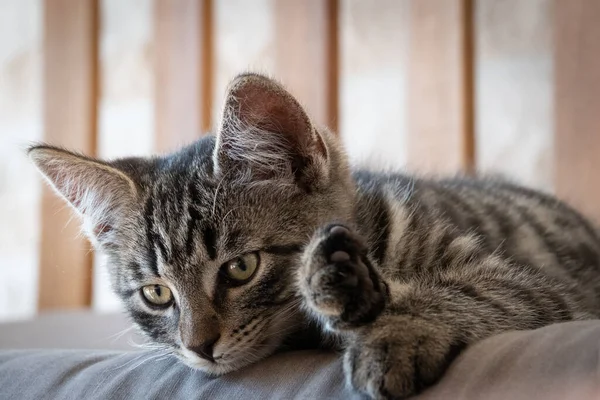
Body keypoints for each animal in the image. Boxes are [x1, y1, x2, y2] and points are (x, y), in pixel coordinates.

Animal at [28, 73, 600, 398]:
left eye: (241, 267)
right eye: (156, 293)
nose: (199, 348)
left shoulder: (548, 288)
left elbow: (472, 290)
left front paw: (394, 331)